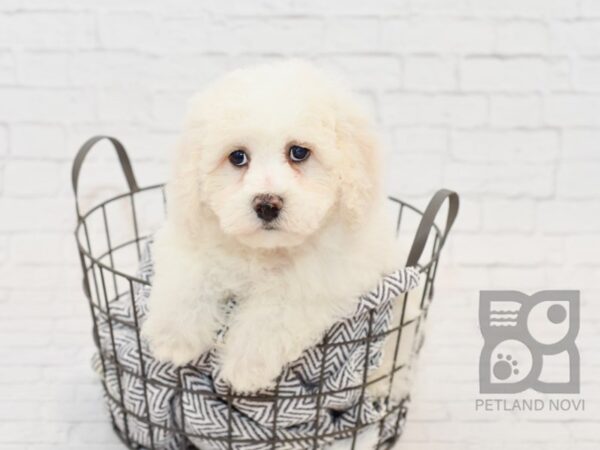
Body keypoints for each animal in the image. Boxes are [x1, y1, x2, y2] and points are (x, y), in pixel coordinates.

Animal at [143, 59, 420, 398]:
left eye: (298, 152)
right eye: (238, 157)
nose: (267, 205)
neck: (265, 251)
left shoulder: (326, 276)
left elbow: (276, 307)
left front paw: (246, 366)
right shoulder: (189, 232)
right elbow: (187, 275)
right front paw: (172, 338)